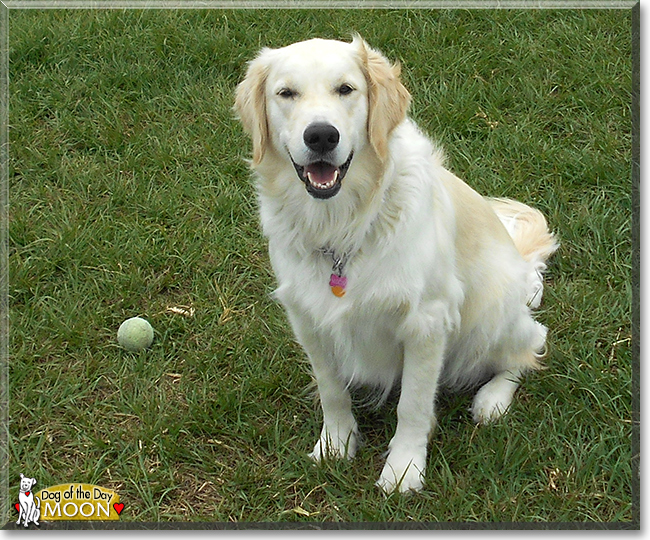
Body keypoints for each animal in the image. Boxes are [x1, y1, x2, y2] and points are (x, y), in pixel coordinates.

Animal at [234, 35, 556, 494]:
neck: (342, 226)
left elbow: (413, 405)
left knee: (529, 347)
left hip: (490, 315)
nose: (321, 135)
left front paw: (404, 468)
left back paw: (492, 399)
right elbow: (331, 389)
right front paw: (336, 444)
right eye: (286, 93)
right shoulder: (307, 317)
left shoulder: (426, 322)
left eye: (346, 89)